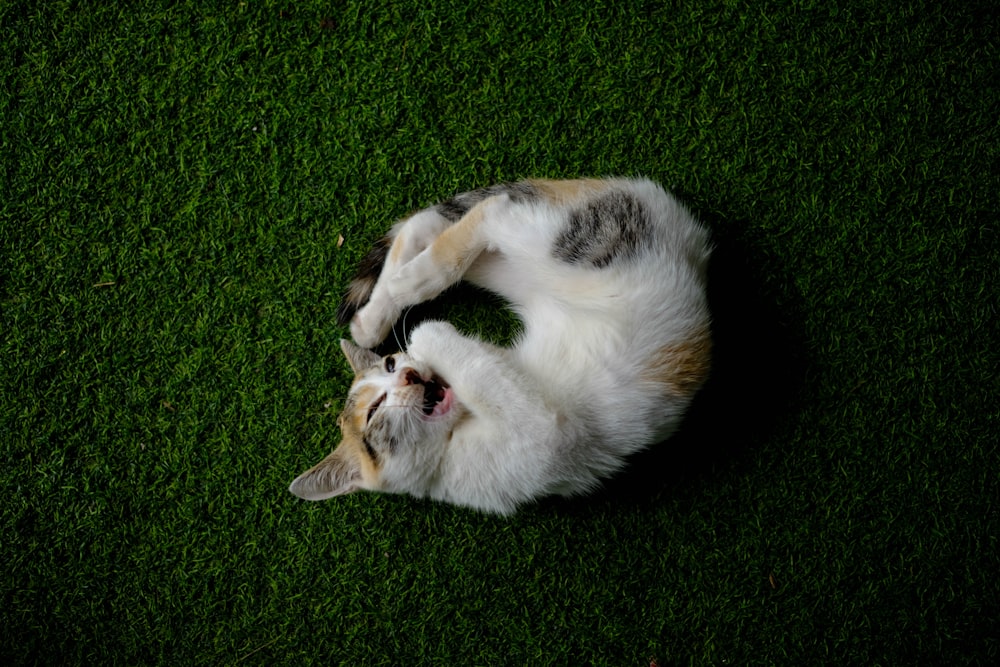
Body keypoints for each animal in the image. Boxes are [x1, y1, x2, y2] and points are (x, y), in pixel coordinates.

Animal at [288, 175, 712, 516]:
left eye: (390, 365)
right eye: (376, 410)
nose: (408, 372)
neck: (449, 445)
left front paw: (417, 337)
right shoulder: (543, 432)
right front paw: (425, 333)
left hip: (564, 249)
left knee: (475, 214)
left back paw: (393, 296)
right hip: (527, 265)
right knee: (454, 223)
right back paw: (385, 306)